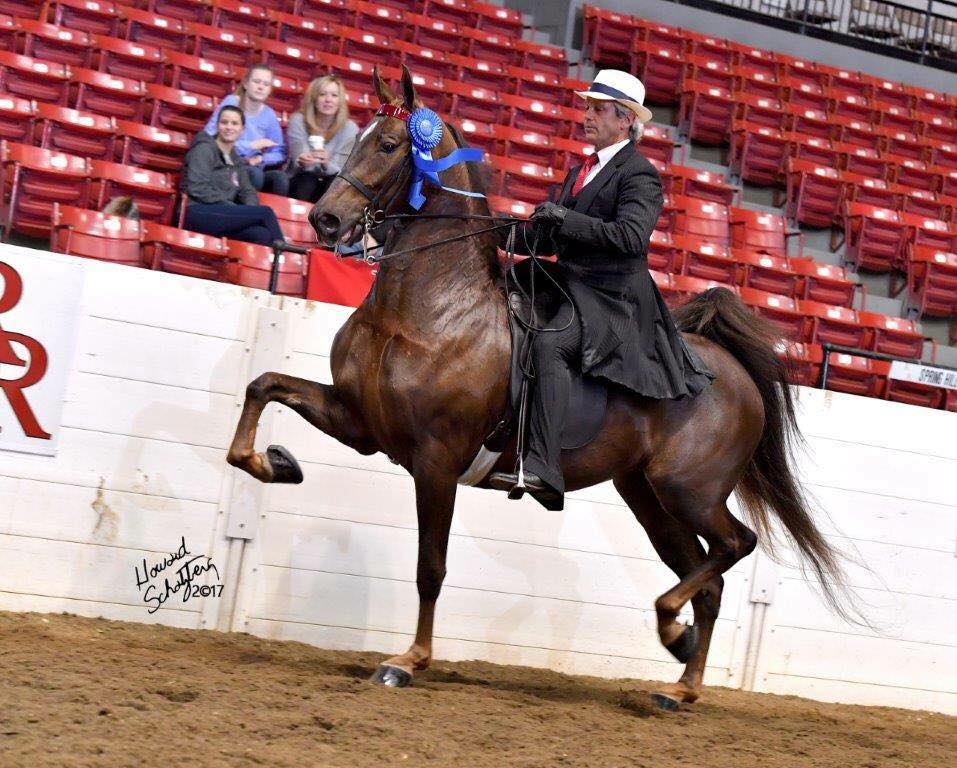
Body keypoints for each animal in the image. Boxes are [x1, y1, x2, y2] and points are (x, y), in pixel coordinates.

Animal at [227, 66, 851, 710]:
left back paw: (673, 636)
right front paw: (274, 462)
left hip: (689, 490)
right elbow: (263, 386)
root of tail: (728, 368)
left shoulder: (435, 460)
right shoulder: (361, 423)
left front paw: (408, 661)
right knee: (707, 577)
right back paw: (680, 680)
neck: (428, 308)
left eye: (390, 144)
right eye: (358, 137)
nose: (323, 220)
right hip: (649, 495)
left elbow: (431, 568)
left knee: (734, 547)